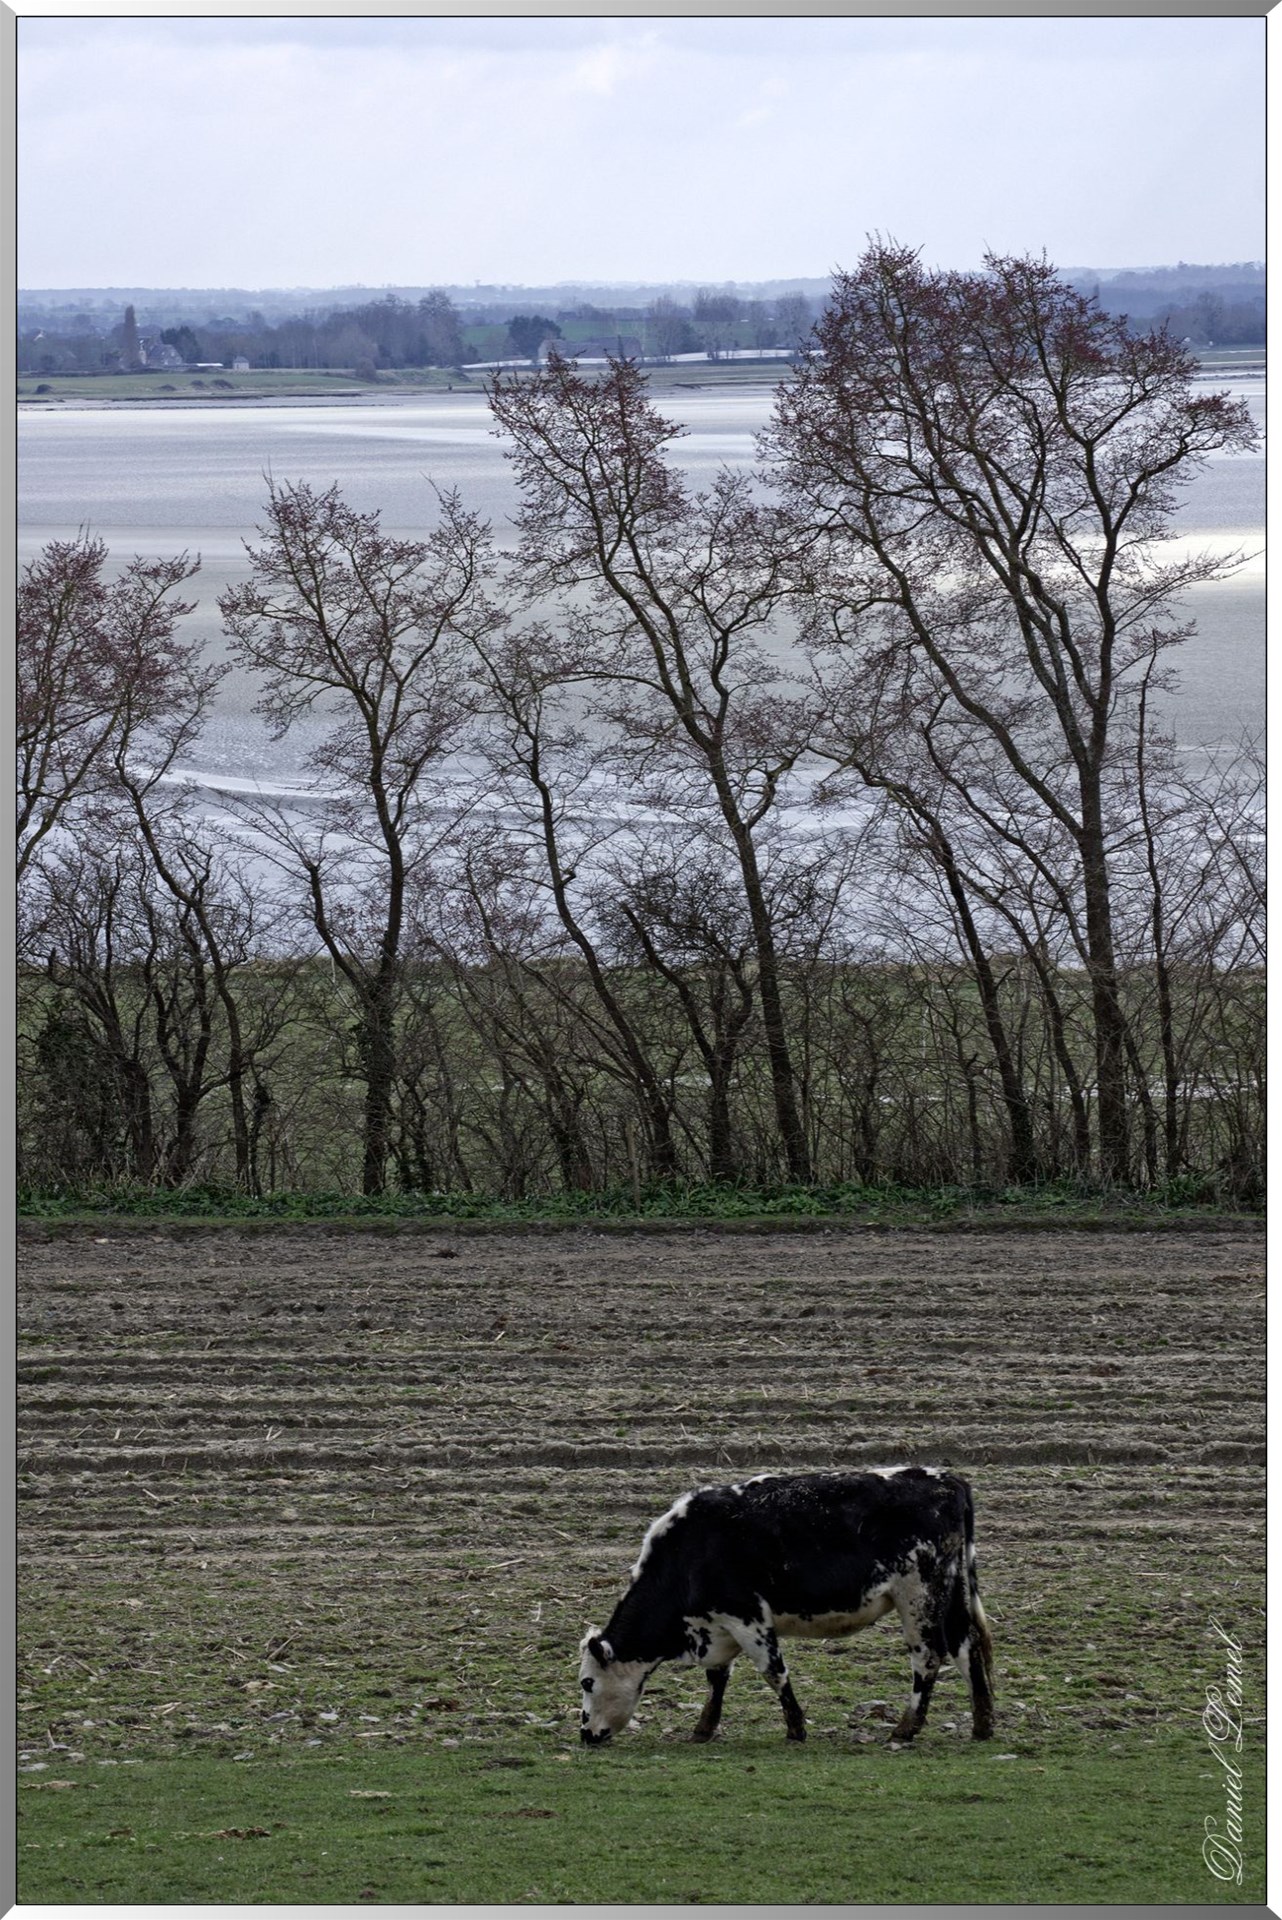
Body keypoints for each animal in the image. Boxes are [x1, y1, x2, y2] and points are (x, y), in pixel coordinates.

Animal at [578, 1467, 994, 1747]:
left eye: (586, 1682)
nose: (586, 1734)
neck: (690, 1550)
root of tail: (945, 1479)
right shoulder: (718, 1627)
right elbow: (717, 1679)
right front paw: (703, 1729)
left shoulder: (747, 1618)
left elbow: (774, 1672)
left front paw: (796, 1728)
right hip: (950, 1595)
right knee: (967, 1648)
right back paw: (982, 1724)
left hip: (919, 1597)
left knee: (928, 1657)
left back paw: (905, 1729)